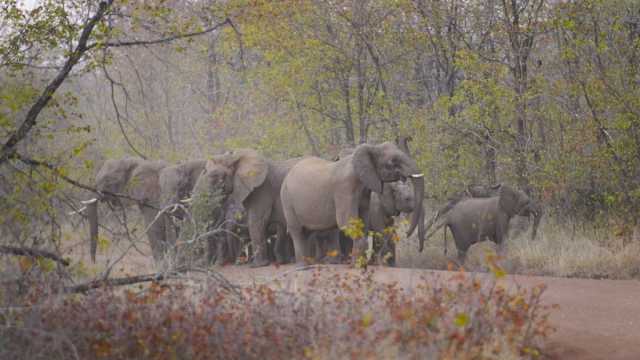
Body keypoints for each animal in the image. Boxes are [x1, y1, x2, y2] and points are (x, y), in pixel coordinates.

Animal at [282, 141, 424, 264]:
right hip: (287, 200)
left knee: (308, 232)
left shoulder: (366, 192)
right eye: (392, 162)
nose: (407, 234)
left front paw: (360, 263)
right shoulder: (344, 189)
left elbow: (363, 224)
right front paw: (358, 264)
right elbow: (348, 223)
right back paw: (303, 266)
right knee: (297, 232)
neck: (372, 147)